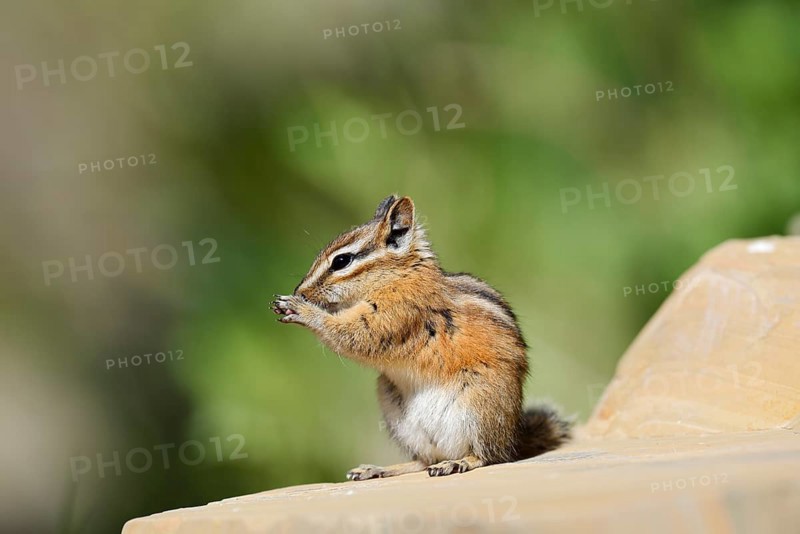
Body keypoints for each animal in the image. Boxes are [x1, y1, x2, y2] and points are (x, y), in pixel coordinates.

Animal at [272, 195, 572, 479]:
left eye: (341, 261)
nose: (301, 291)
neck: (399, 276)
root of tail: (513, 439)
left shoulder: (397, 315)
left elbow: (357, 335)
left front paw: (301, 309)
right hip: (396, 410)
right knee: (423, 461)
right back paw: (378, 469)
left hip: (480, 406)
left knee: (488, 456)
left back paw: (458, 462)